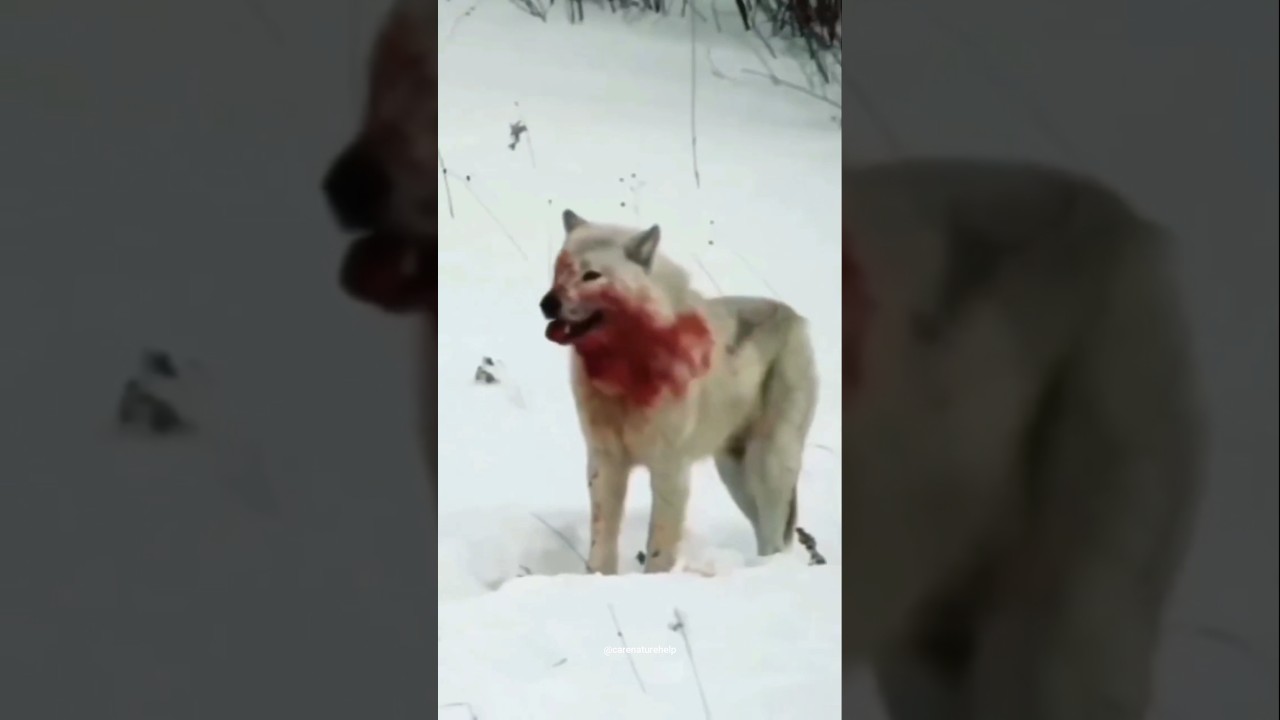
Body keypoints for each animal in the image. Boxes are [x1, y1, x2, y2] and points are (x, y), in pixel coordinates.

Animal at [539, 209, 820, 574]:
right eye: (560, 270)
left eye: (591, 275)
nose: (547, 304)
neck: (626, 368)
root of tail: (795, 317)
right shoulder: (605, 461)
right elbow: (602, 538)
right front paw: (598, 577)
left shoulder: (670, 467)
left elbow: (659, 545)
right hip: (733, 472)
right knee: (763, 529)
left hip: (768, 463)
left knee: (774, 533)